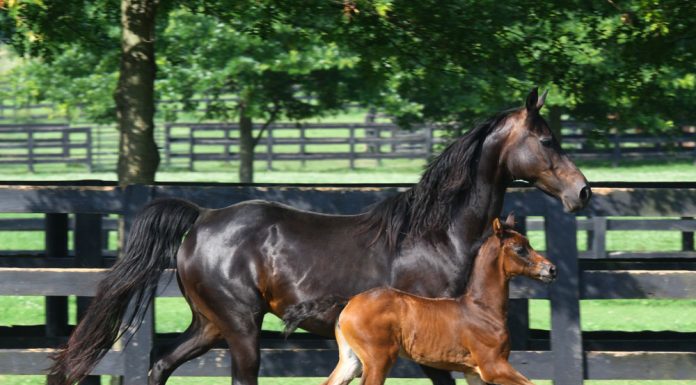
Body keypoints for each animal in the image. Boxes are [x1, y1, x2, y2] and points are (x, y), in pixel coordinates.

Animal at [326, 213, 556, 384]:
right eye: (520, 249)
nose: (551, 269)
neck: (482, 310)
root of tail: (349, 305)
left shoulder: (474, 372)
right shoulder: (493, 366)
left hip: (351, 362)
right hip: (379, 360)